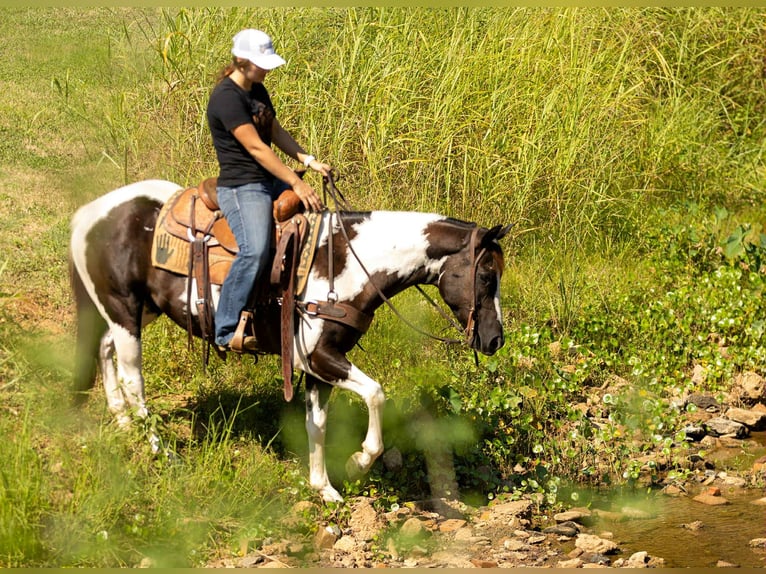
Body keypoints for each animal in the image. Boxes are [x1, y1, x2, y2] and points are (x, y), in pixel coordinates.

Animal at [68, 178, 511, 502]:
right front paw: (358, 462)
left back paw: (123, 423)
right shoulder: (317, 358)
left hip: (138, 310)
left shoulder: (321, 365)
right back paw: (160, 450)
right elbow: (376, 394)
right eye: (486, 275)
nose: (495, 341)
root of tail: (88, 214)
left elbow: (316, 424)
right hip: (124, 308)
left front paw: (325, 488)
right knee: (133, 379)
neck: (347, 261)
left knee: (104, 349)